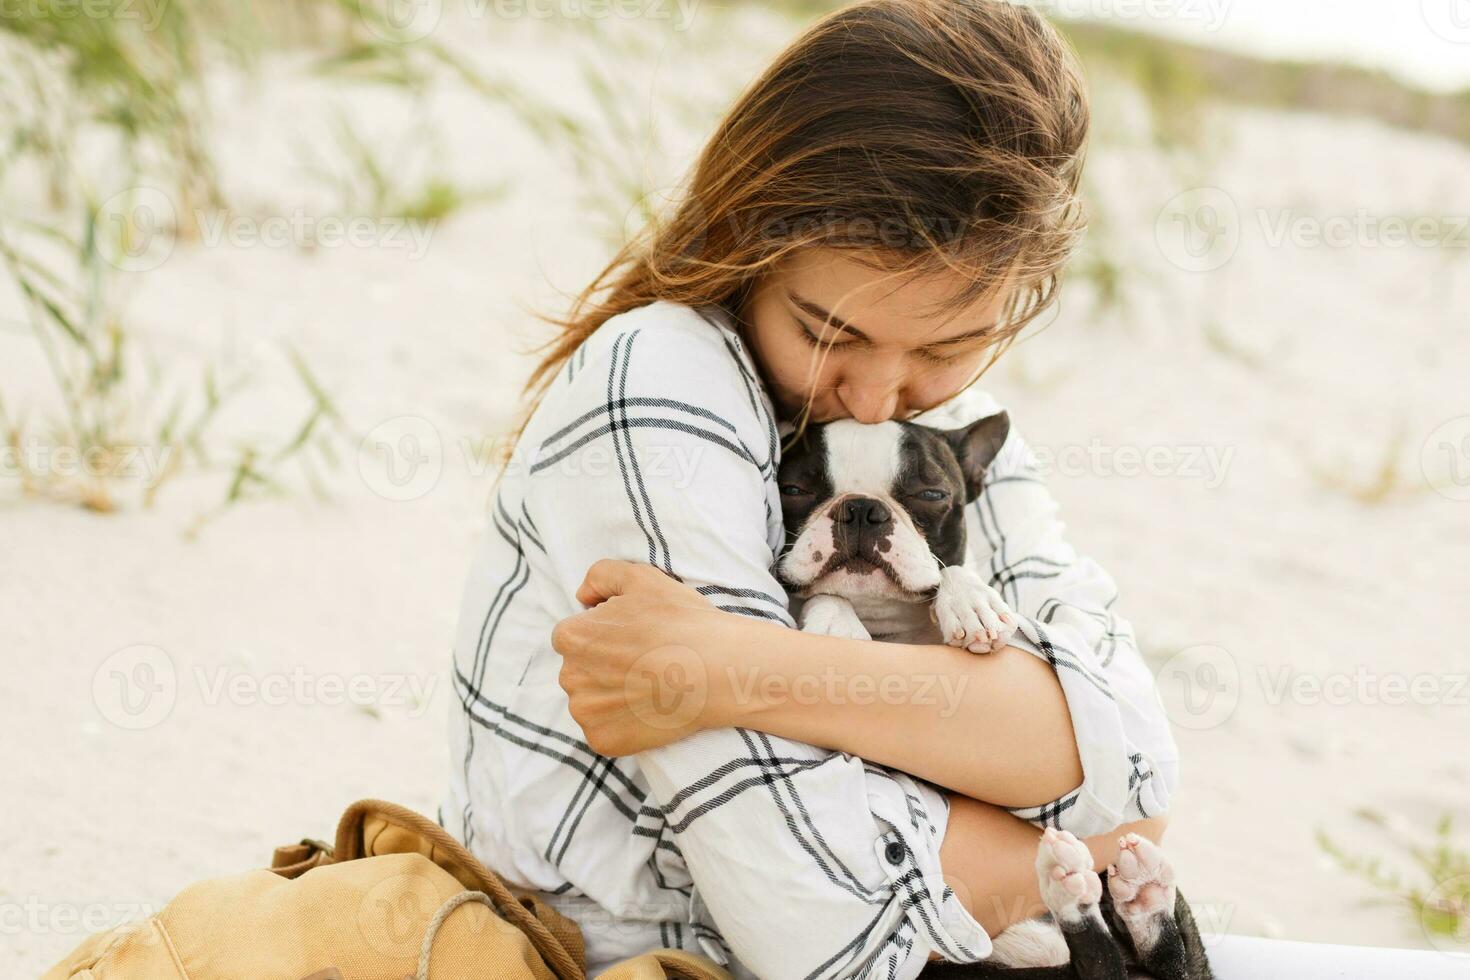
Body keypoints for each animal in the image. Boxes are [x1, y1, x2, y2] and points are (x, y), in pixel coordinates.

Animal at [776, 414, 1211, 980]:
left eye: (932, 493)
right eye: (794, 489)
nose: (861, 508)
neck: (888, 625)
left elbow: (954, 572)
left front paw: (971, 603)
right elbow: (820, 597)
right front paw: (835, 624)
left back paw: (1140, 895)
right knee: (1106, 963)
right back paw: (1103, 892)